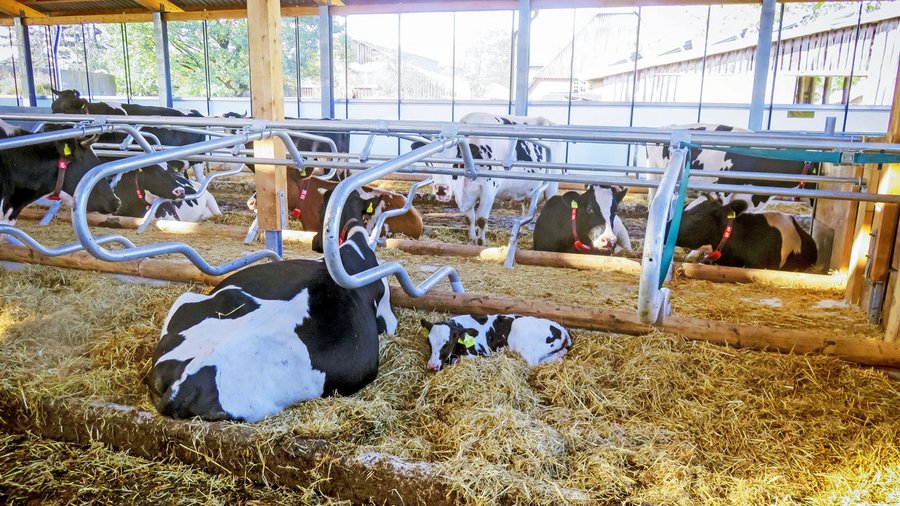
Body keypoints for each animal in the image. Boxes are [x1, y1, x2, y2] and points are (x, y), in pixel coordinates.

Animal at [413, 112, 562, 246]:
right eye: (433, 162)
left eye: (455, 163)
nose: (441, 189)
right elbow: (469, 218)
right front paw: (472, 240)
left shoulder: (489, 189)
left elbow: (481, 219)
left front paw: (481, 242)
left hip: (552, 185)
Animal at [420, 314, 572, 371]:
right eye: (429, 343)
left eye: (447, 343)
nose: (432, 365)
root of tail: (562, 329)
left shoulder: (479, 353)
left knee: (533, 364)